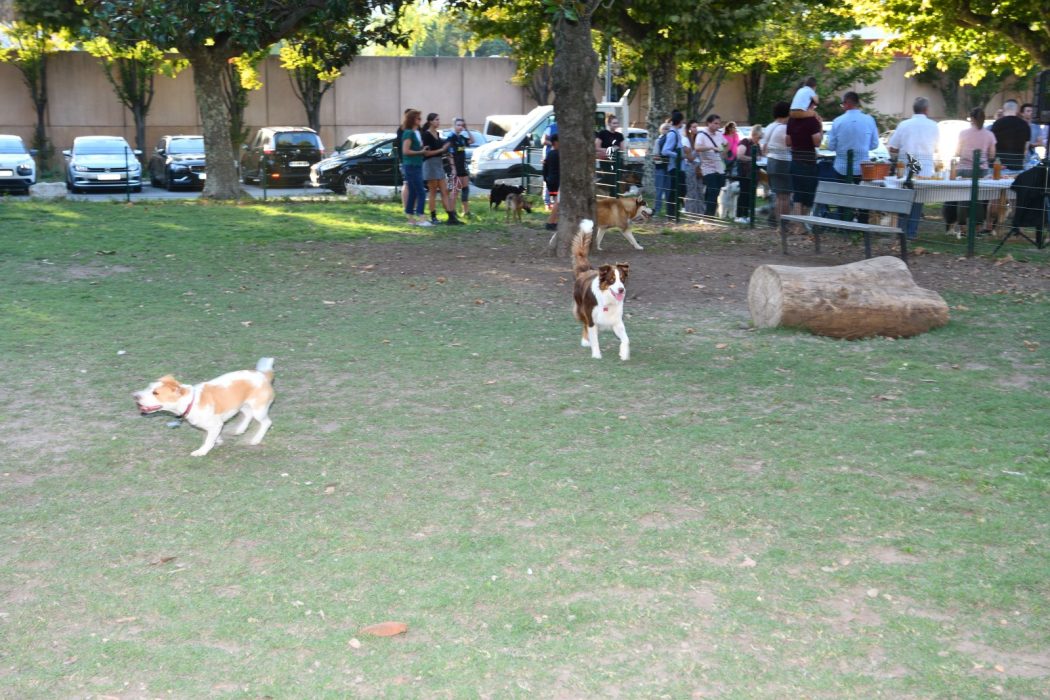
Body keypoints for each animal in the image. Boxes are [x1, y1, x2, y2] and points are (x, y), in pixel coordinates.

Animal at [133, 358, 277, 457]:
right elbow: (213, 436)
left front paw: (201, 451)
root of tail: (264, 375)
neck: (191, 401)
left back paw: (256, 439)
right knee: (248, 415)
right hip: (242, 405)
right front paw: (218, 440)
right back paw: (239, 430)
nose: (135, 396)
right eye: (148, 387)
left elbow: (208, 440)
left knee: (266, 422)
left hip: (259, 409)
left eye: (155, 393)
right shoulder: (215, 426)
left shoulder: (216, 424)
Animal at [575, 220, 630, 361]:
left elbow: (626, 339)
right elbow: (594, 339)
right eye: (611, 280)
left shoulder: (617, 321)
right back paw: (585, 341)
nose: (621, 290)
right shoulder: (591, 319)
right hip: (581, 310)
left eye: (622, 279)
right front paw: (596, 354)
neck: (607, 300)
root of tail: (585, 271)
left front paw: (623, 353)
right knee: (584, 324)